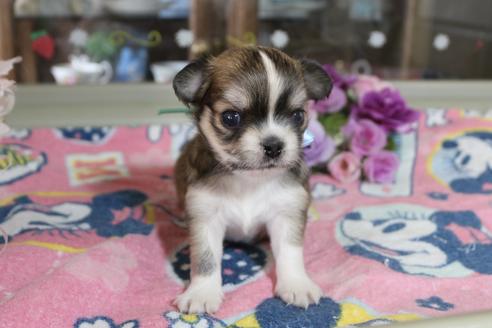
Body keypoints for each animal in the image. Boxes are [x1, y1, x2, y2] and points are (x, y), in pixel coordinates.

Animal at [172, 45, 330, 312]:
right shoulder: (205, 215)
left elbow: (290, 252)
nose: (274, 145)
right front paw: (202, 294)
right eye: (230, 118)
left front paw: (296, 285)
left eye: (298, 116)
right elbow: (205, 257)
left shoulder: (287, 212)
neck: (249, 179)